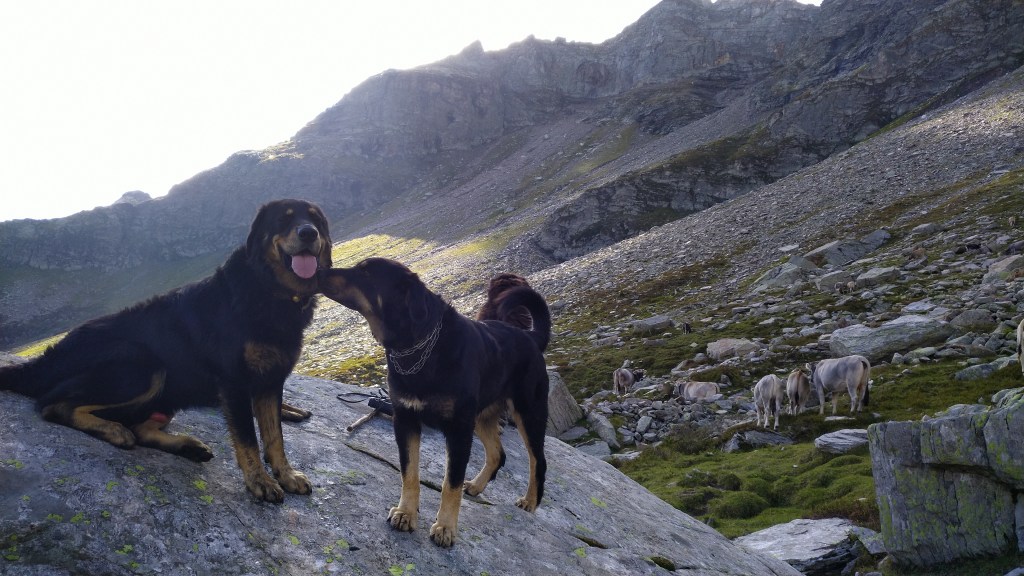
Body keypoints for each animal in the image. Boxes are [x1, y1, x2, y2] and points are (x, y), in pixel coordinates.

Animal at [0, 199, 332, 503]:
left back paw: (187, 446)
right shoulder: (234, 382)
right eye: (283, 219)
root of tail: (45, 360)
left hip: (171, 388)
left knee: (140, 426)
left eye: (315, 219)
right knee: (53, 405)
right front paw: (259, 481)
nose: (308, 233)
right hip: (143, 367)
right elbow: (248, 438)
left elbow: (275, 437)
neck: (269, 290)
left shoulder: (270, 382)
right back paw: (113, 430)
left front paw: (286, 474)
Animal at [320, 258, 551, 547]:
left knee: (537, 460)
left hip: (528, 413)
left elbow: (450, 484)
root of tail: (530, 337)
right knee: (498, 454)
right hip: (482, 416)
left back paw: (530, 501)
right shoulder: (405, 420)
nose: (320, 270)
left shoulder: (458, 430)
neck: (418, 345)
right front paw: (406, 513)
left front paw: (445, 527)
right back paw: (477, 485)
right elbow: (409, 473)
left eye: (366, 272)